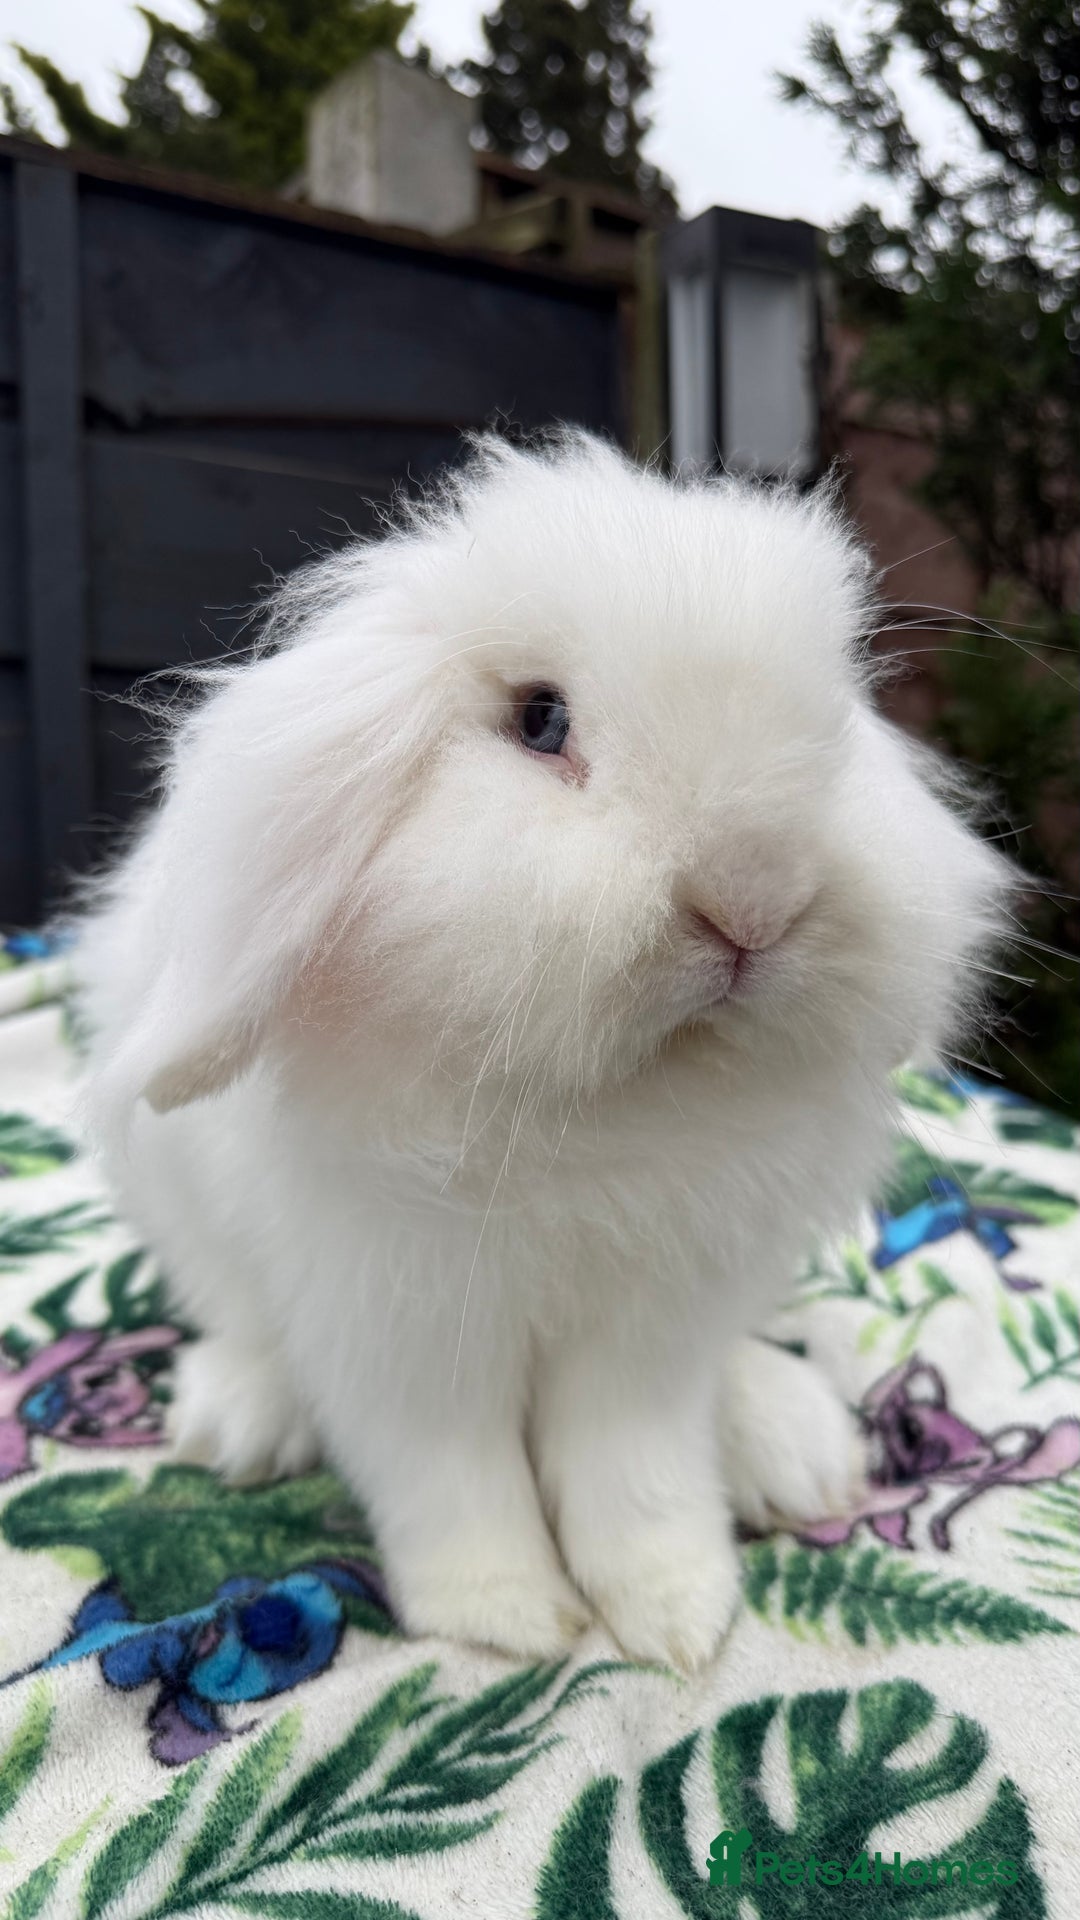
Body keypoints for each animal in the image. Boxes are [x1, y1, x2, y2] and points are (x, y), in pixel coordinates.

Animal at [74, 432, 1014, 1670]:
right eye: (540, 722)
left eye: (839, 721)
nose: (755, 901)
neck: (603, 1111)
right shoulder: (398, 1324)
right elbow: (451, 1479)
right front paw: (507, 1616)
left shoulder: (654, 1333)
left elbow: (639, 1475)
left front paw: (677, 1615)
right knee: (240, 1319)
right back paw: (239, 1421)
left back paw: (790, 1446)